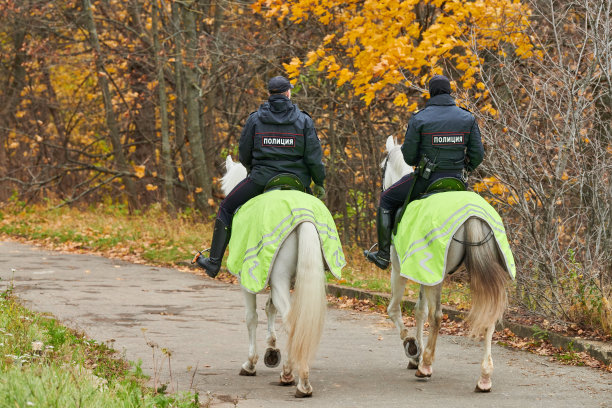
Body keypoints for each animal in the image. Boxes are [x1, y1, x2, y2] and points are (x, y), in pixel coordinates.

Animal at [219, 155, 326, 396]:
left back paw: (294, 377)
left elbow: (251, 317)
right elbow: (270, 308)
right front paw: (271, 350)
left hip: (279, 280)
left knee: (291, 321)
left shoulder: (248, 281)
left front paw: (250, 363)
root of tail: (304, 216)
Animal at [382, 137, 512, 392]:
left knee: (437, 316)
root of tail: (473, 215)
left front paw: (412, 348)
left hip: (435, 274)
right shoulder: (424, 271)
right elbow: (419, 310)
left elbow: (395, 309)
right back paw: (484, 377)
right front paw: (415, 352)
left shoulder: (401, 269)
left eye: (382, 166)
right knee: (489, 319)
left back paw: (426, 366)